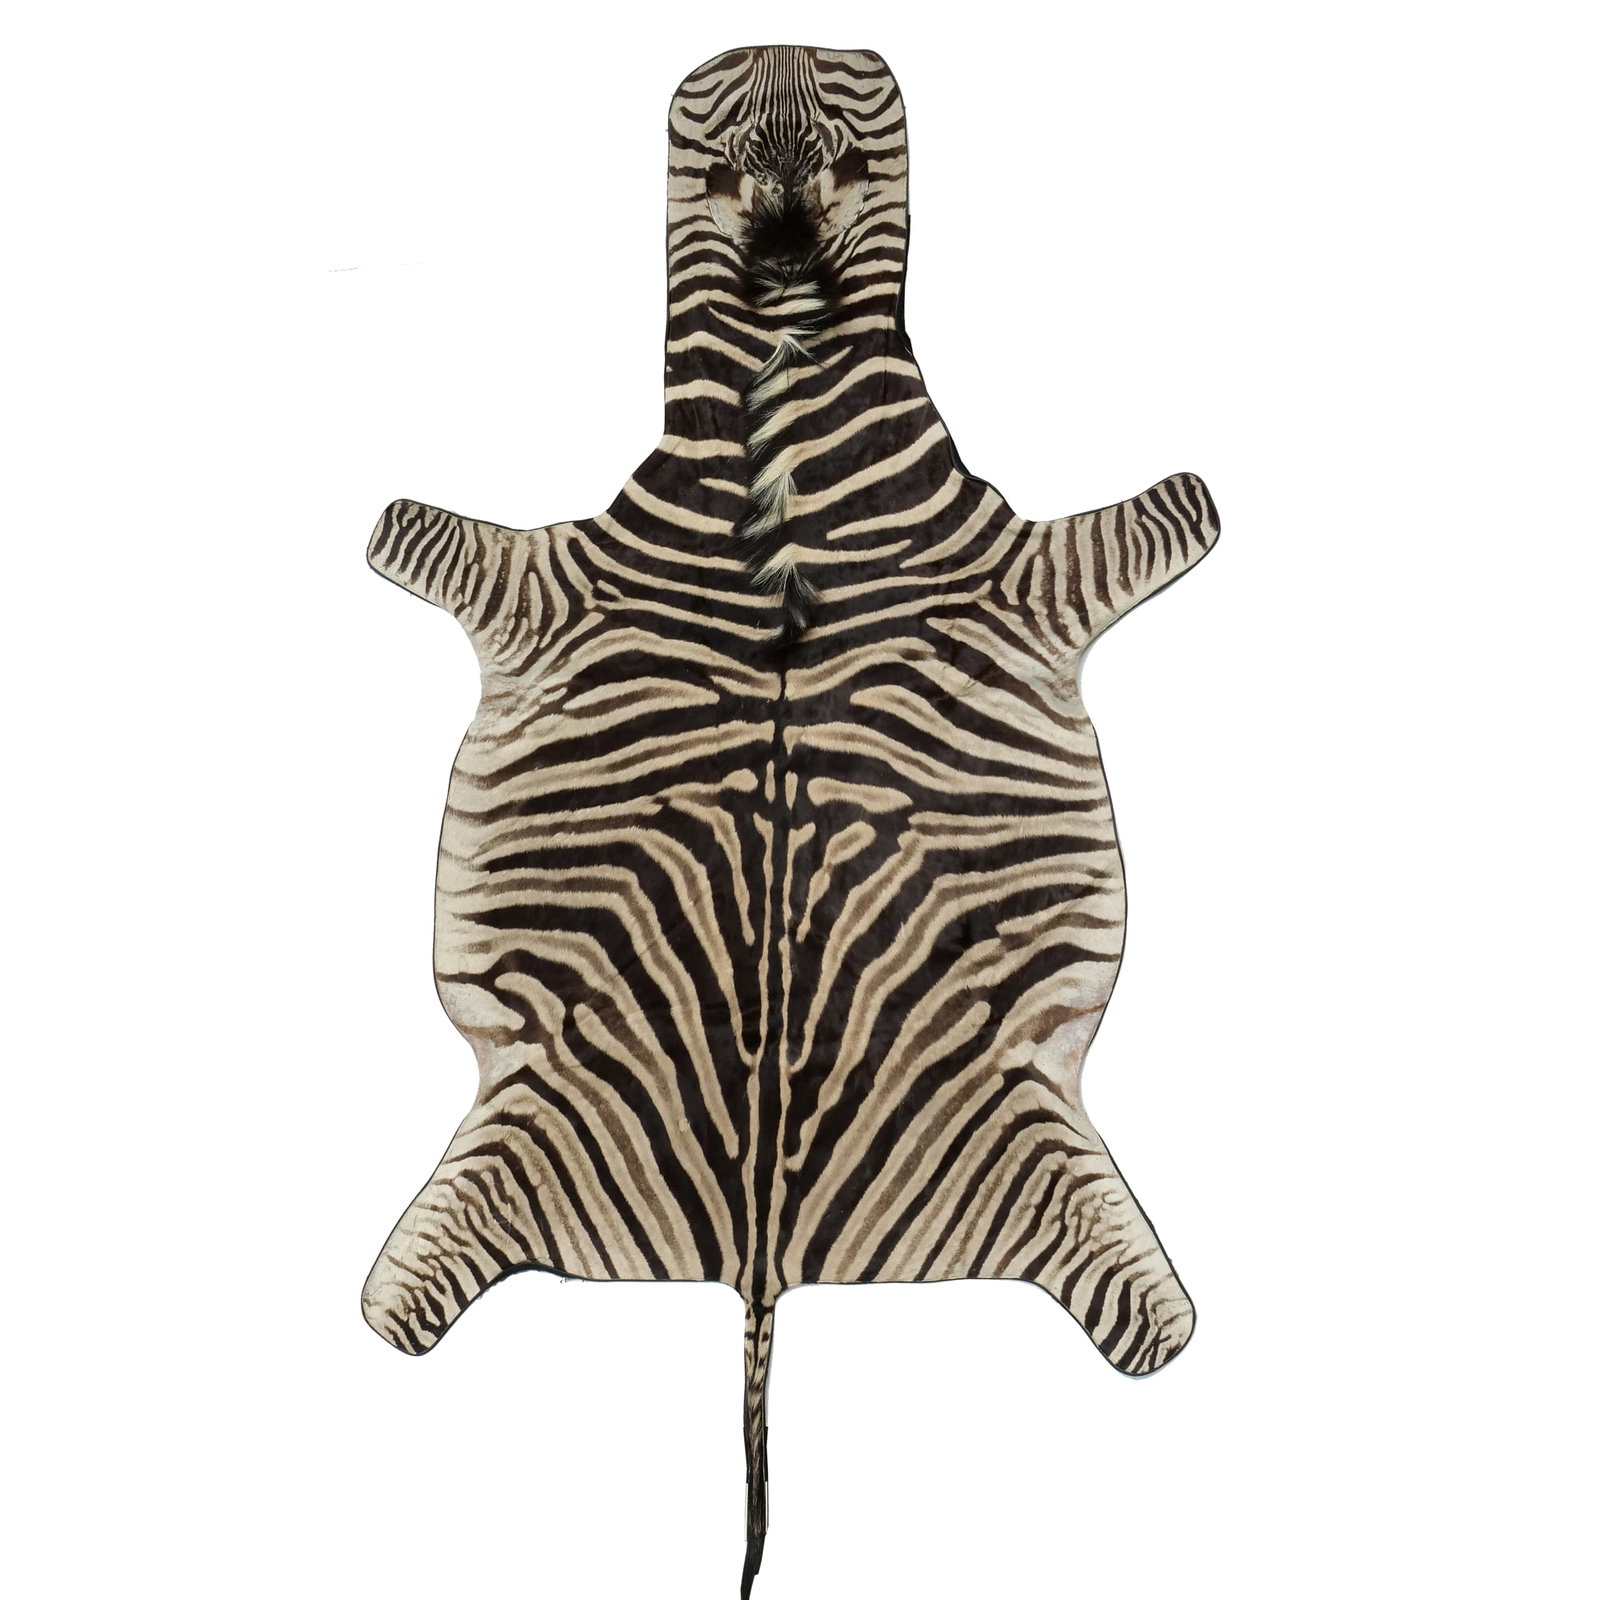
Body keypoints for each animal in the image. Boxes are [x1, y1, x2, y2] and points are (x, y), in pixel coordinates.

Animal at [362, 44, 1219, 1595]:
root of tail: (762, 1257)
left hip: (1018, 1114)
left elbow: (1151, 520)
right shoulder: (550, 579)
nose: (780, 50)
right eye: (717, 150)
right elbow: (438, 536)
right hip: (531, 1099)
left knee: (1149, 1323)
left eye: (849, 144)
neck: (785, 394)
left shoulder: (1025, 566)